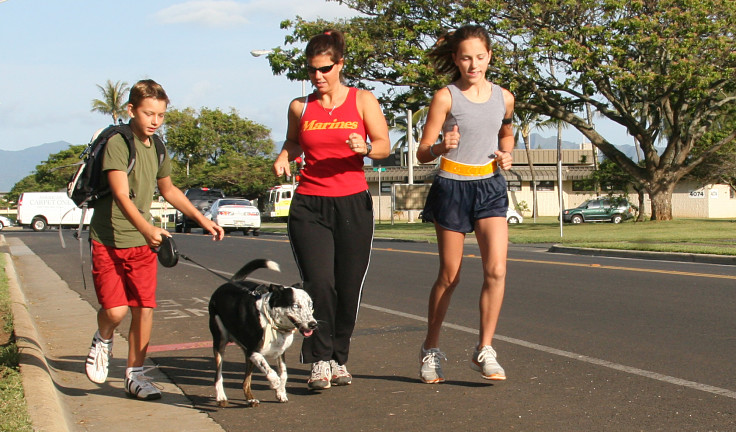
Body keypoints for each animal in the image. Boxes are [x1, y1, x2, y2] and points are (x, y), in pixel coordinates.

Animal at [210, 258, 320, 406]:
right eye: (295, 306)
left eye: (310, 305)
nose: (313, 325)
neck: (270, 320)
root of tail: (229, 283)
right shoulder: (253, 352)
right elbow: (269, 369)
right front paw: (275, 383)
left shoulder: (279, 352)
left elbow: (284, 374)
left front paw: (281, 392)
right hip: (220, 342)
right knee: (218, 375)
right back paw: (221, 397)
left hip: (246, 355)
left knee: (246, 381)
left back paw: (250, 399)